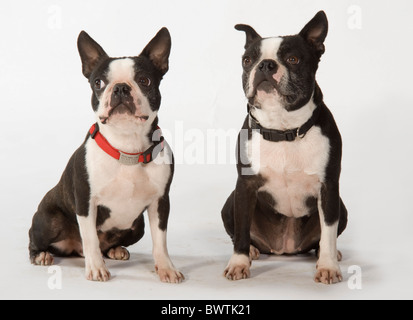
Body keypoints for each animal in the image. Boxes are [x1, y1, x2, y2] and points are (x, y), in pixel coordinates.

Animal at [220, 11, 346, 284]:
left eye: (293, 59)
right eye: (247, 60)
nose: (266, 65)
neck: (283, 129)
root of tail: (284, 248)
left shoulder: (329, 188)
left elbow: (328, 232)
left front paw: (328, 266)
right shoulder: (244, 186)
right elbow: (242, 229)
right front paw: (238, 263)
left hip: (341, 206)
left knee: (324, 238)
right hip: (229, 204)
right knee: (238, 231)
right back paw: (252, 250)